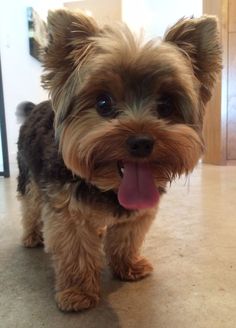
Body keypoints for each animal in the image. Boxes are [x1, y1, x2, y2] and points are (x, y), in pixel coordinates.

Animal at [16, 9, 221, 312]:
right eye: (103, 103)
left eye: (165, 105)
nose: (141, 141)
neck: (109, 185)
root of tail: (35, 107)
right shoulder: (67, 211)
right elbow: (75, 251)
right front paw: (78, 292)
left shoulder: (137, 214)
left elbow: (126, 239)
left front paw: (128, 266)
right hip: (28, 172)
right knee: (29, 204)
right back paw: (31, 236)